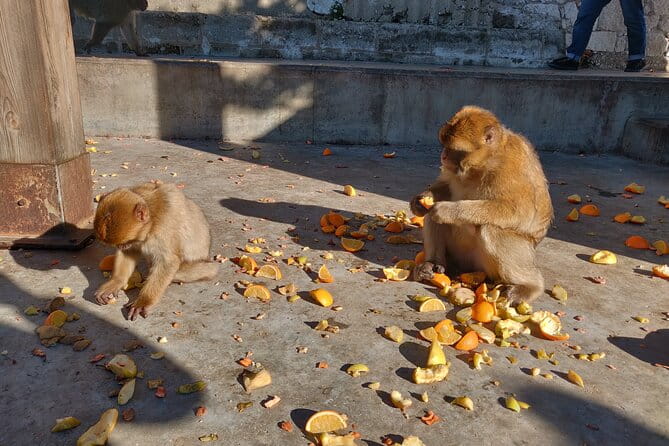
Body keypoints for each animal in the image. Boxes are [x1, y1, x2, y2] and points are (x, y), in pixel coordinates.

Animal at [93, 182, 219, 320]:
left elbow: (168, 262)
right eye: (120, 244)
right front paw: (116, 282)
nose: (120, 247)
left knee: (210, 268)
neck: (152, 222)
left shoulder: (165, 227)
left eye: (124, 243)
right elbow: (130, 252)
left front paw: (144, 301)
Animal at [410, 106, 553, 303]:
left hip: (488, 265)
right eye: (444, 145)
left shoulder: (511, 167)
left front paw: (448, 210)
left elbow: (520, 212)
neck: (482, 164)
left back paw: (530, 286)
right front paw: (419, 201)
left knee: (491, 229)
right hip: (458, 255)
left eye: (455, 149)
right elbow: (445, 187)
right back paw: (432, 264)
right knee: (430, 217)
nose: (443, 155)